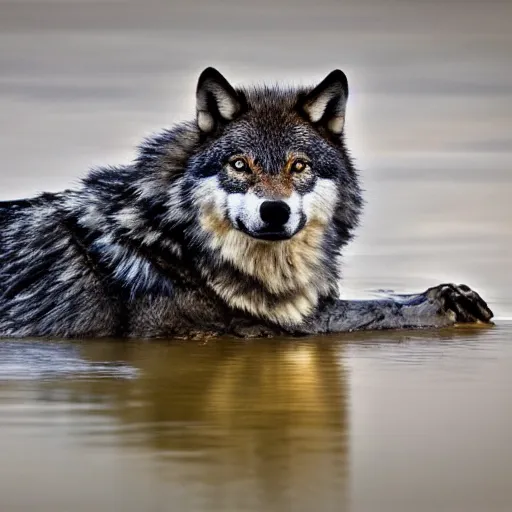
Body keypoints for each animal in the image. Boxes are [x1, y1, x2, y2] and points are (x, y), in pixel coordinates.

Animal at [0, 69, 494, 340]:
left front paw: (452, 298)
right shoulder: (218, 329)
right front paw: (442, 305)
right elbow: (357, 313)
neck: (174, 242)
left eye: (299, 165)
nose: (274, 210)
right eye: (240, 164)